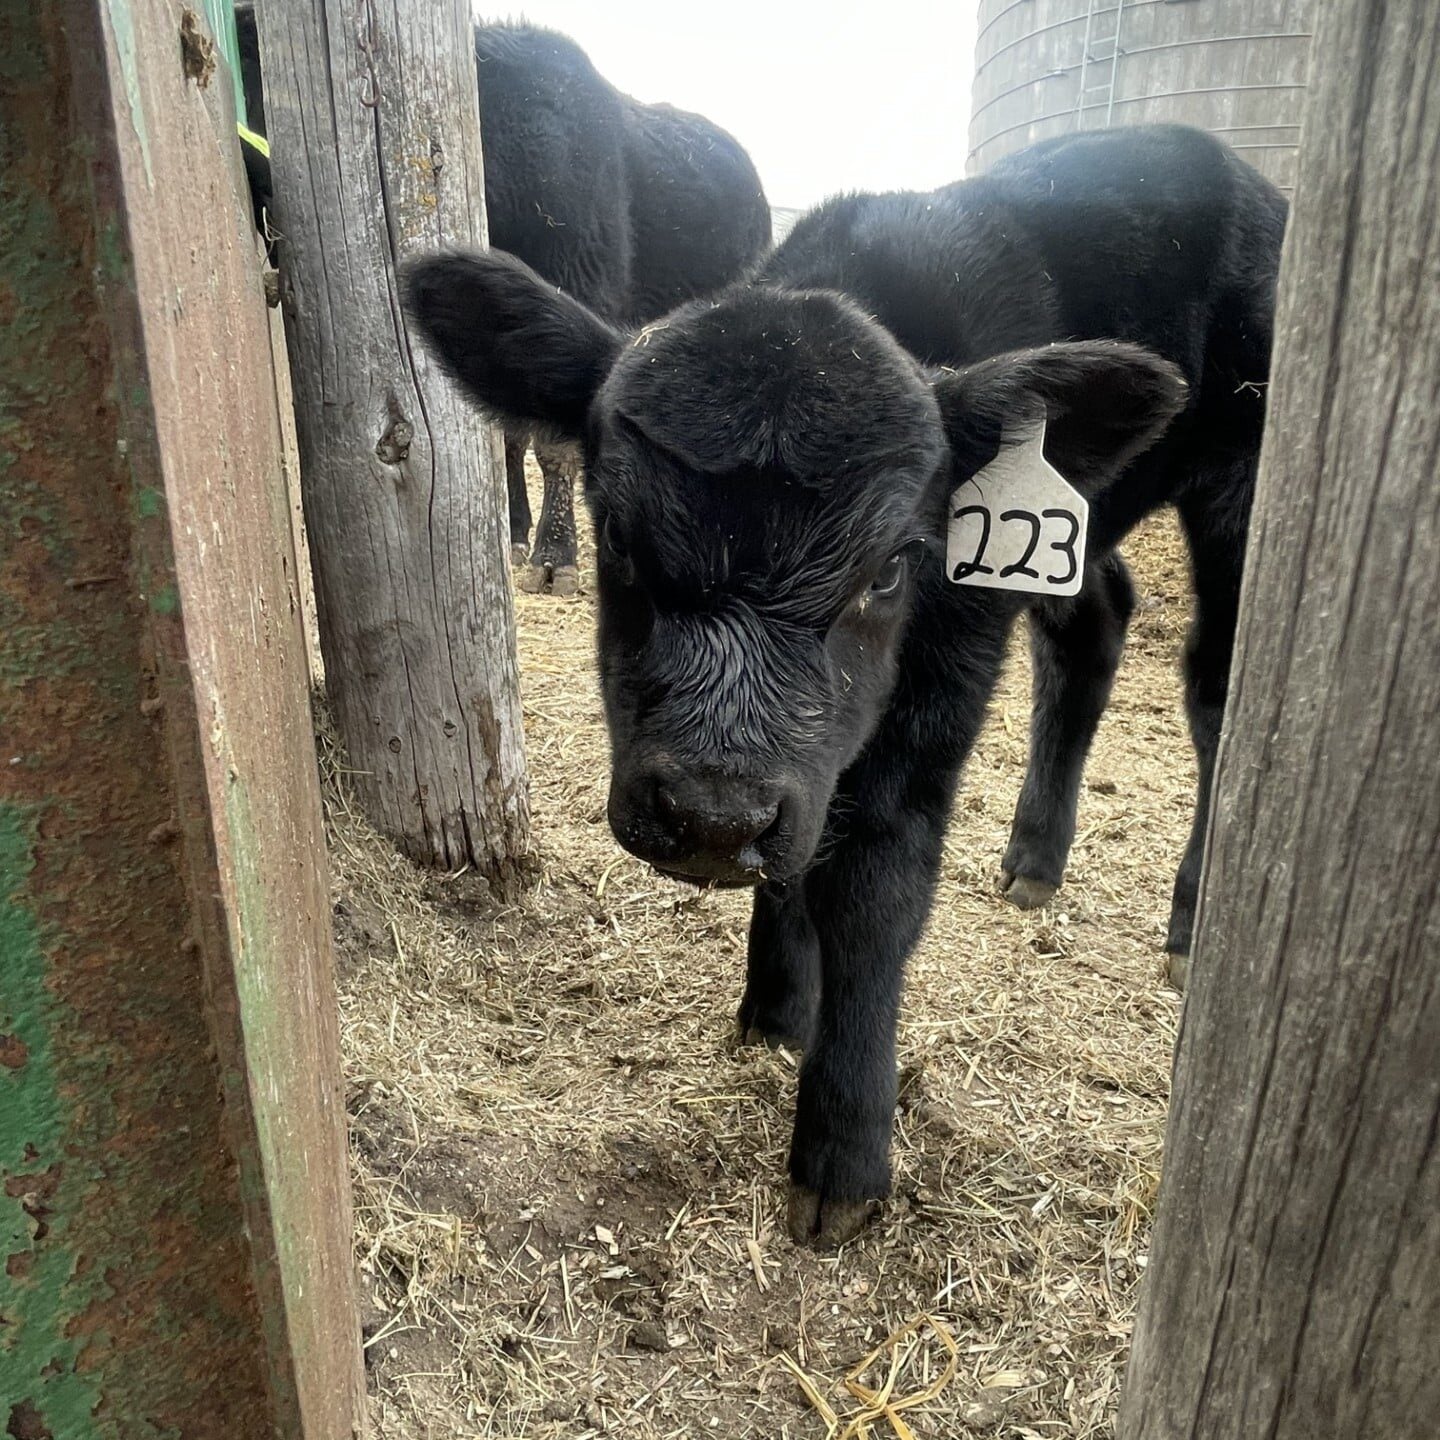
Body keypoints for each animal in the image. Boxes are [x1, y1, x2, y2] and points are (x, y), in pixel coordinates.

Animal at [404, 125, 1286, 1245]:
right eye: (619, 540)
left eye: (888, 570)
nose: (710, 818)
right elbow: (806, 842)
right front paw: (778, 1009)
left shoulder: (944, 678)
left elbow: (874, 884)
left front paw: (843, 1155)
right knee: (1093, 627)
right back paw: (1033, 861)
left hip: (1241, 485)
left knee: (1219, 685)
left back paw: (1187, 915)